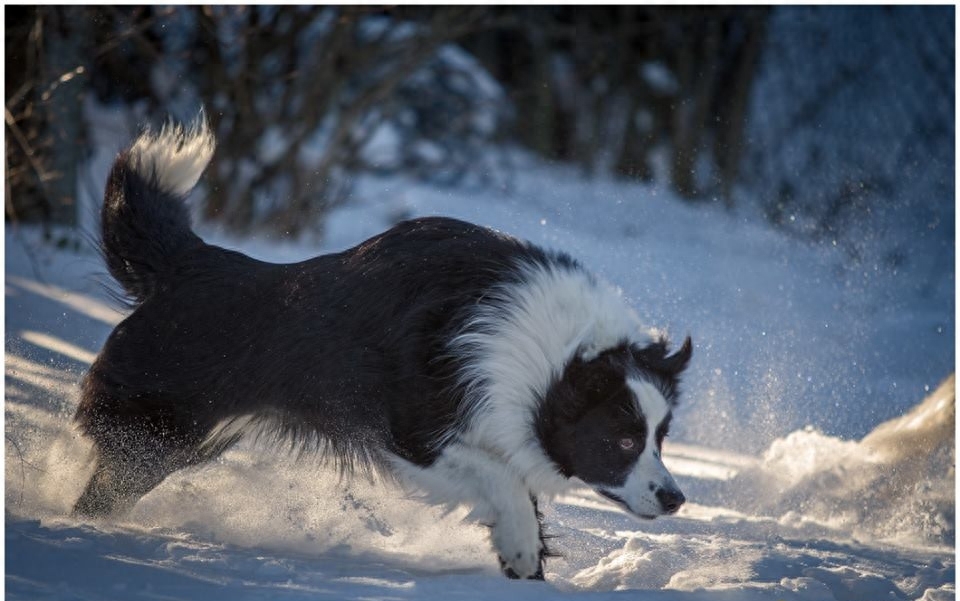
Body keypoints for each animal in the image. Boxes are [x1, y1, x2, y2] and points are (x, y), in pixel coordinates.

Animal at [73, 120, 688, 576]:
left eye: (661, 437)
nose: (676, 499)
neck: (552, 358)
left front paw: (527, 564)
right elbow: (504, 482)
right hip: (157, 429)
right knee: (105, 487)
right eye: (624, 438)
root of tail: (189, 264)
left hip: (191, 439)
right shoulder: (413, 431)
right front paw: (517, 549)